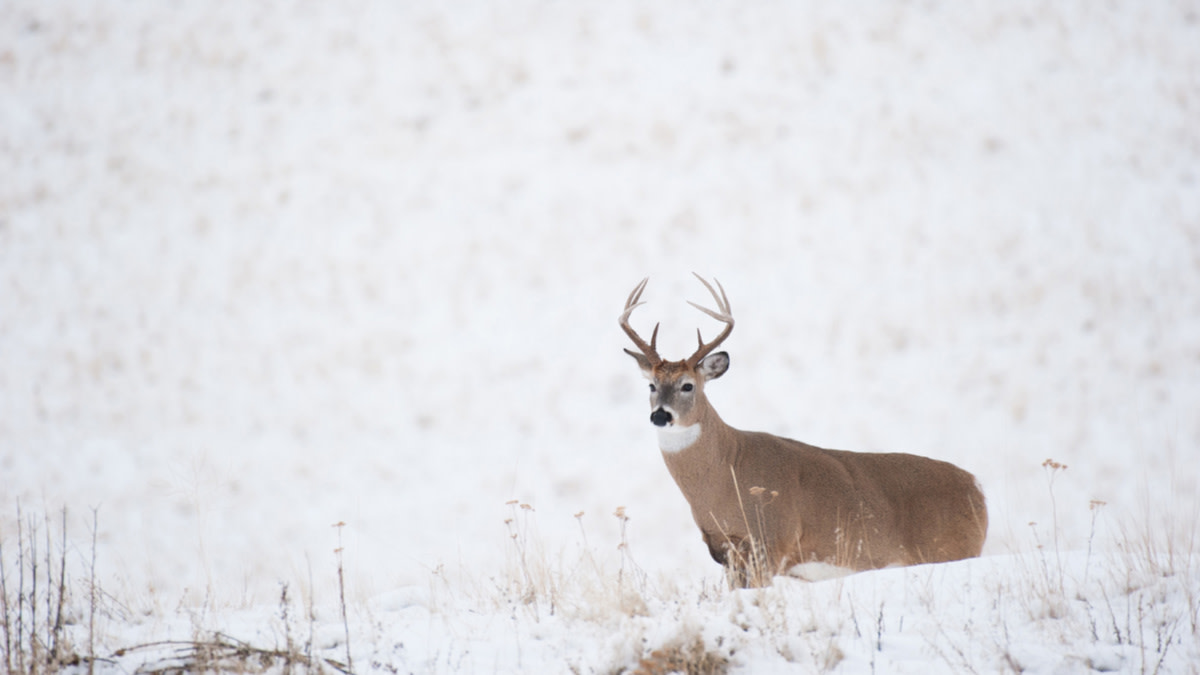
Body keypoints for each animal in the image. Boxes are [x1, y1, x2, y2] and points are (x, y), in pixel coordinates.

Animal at [620, 274, 988, 587]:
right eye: (652, 385)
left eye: (687, 386)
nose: (660, 415)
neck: (727, 473)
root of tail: (978, 489)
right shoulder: (727, 553)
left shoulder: (772, 541)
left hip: (952, 549)